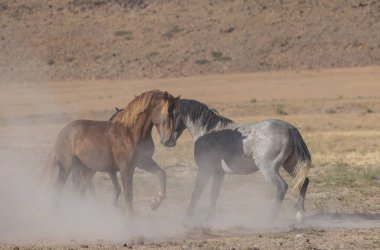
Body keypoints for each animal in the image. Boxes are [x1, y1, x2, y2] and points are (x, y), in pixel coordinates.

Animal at [43, 90, 180, 217]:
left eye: (176, 114)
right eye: (167, 112)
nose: (170, 141)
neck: (131, 134)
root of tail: (62, 132)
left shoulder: (143, 162)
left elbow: (162, 174)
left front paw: (155, 204)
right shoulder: (125, 168)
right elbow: (127, 194)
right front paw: (130, 217)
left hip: (82, 168)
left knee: (79, 191)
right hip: (66, 167)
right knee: (58, 188)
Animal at [174, 98, 310, 222]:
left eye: (173, 114)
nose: (170, 140)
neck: (208, 131)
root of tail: (291, 130)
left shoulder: (205, 169)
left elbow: (196, 192)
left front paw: (187, 219)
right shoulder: (219, 172)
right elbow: (214, 194)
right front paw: (209, 219)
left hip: (268, 168)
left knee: (282, 186)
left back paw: (270, 219)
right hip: (290, 165)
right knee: (304, 181)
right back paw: (299, 215)